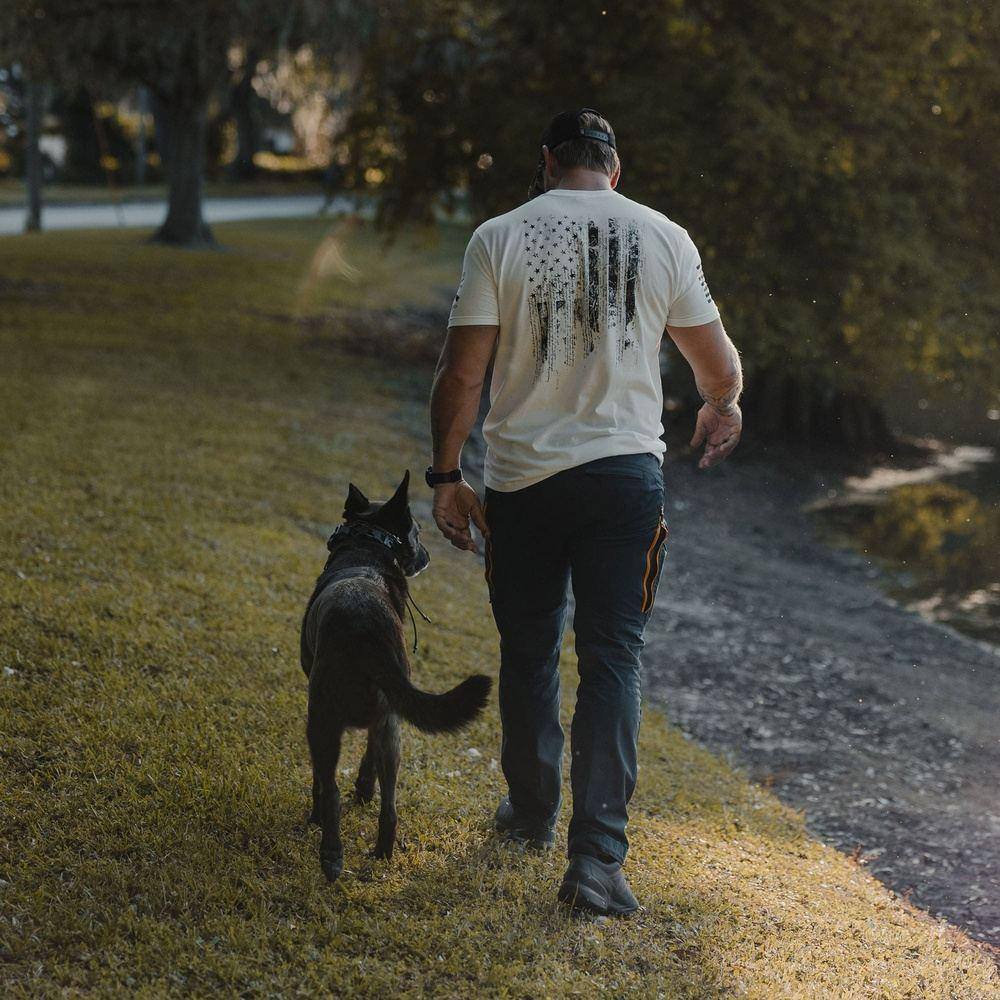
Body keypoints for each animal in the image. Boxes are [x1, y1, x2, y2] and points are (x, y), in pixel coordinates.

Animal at [302, 472, 494, 880]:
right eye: (419, 532)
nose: (429, 556)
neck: (366, 550)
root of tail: (366, 628)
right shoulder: (385, 716)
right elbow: (368, 760)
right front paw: (364, 790)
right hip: (392, 727)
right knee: (390, 806)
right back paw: (382, 853)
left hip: (321, 720)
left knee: (329, 788)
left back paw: (330, 851)